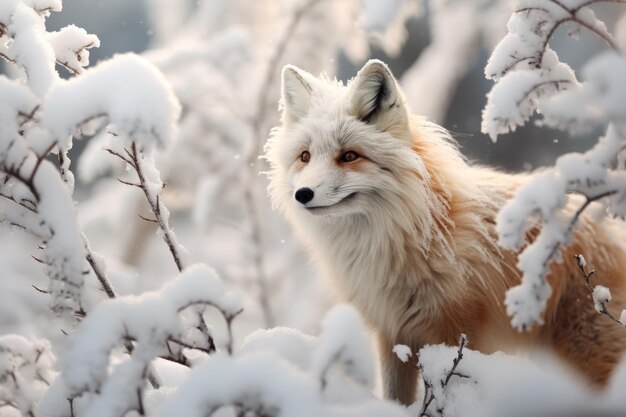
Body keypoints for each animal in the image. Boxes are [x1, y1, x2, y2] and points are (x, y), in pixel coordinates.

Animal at [260, 58, 624, 404]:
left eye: (349, 156)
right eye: (305, 157)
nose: (303, 194)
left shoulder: (459, 334)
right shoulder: (393, 332)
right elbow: (396, 399)